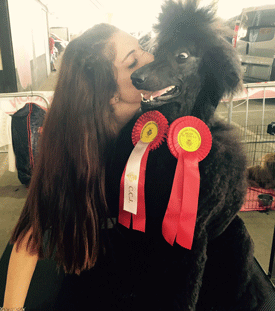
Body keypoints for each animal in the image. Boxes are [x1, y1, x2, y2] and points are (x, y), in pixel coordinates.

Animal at [106, 0, 268, 311]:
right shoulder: (139, 220)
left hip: (238, 240)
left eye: (181, 55)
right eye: (156, 51)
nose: (136, 78)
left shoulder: (191, 233)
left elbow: (185, 288)